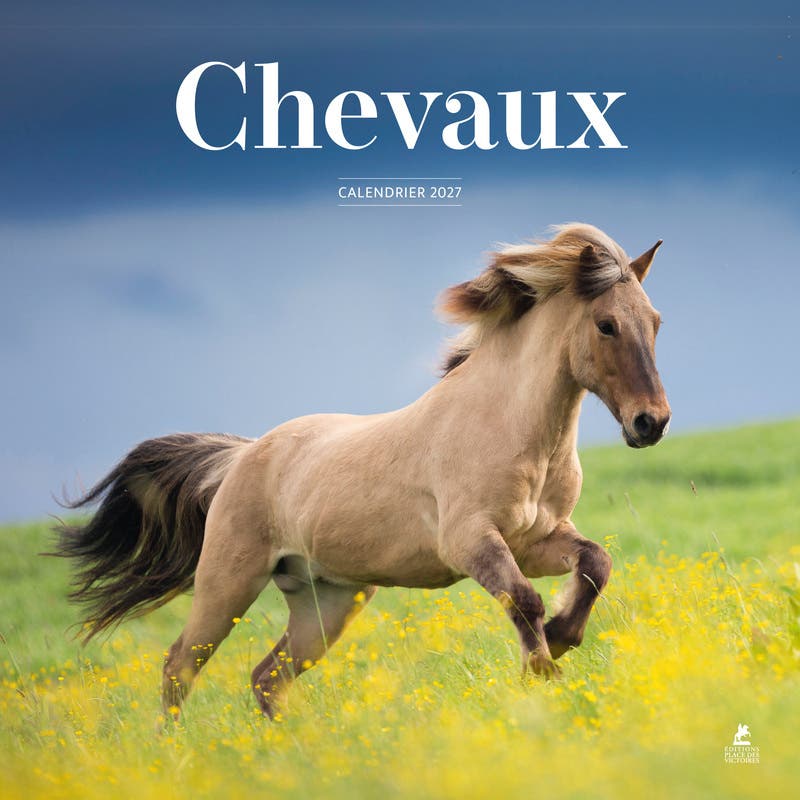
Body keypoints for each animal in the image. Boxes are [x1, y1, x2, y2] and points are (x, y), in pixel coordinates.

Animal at [54, 222, 671, 721]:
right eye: (607, 325)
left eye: (656, 322)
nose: (651, 422)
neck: (509, 427)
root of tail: (240, 457)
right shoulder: (471, 540)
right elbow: (524, 600)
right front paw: (543, 669)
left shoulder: (537, 539)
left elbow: (595, 563)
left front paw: (563, 637)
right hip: (228, 583)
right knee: (180, 665)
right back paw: (176, 752)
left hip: (325, 603)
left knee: (267, 678)